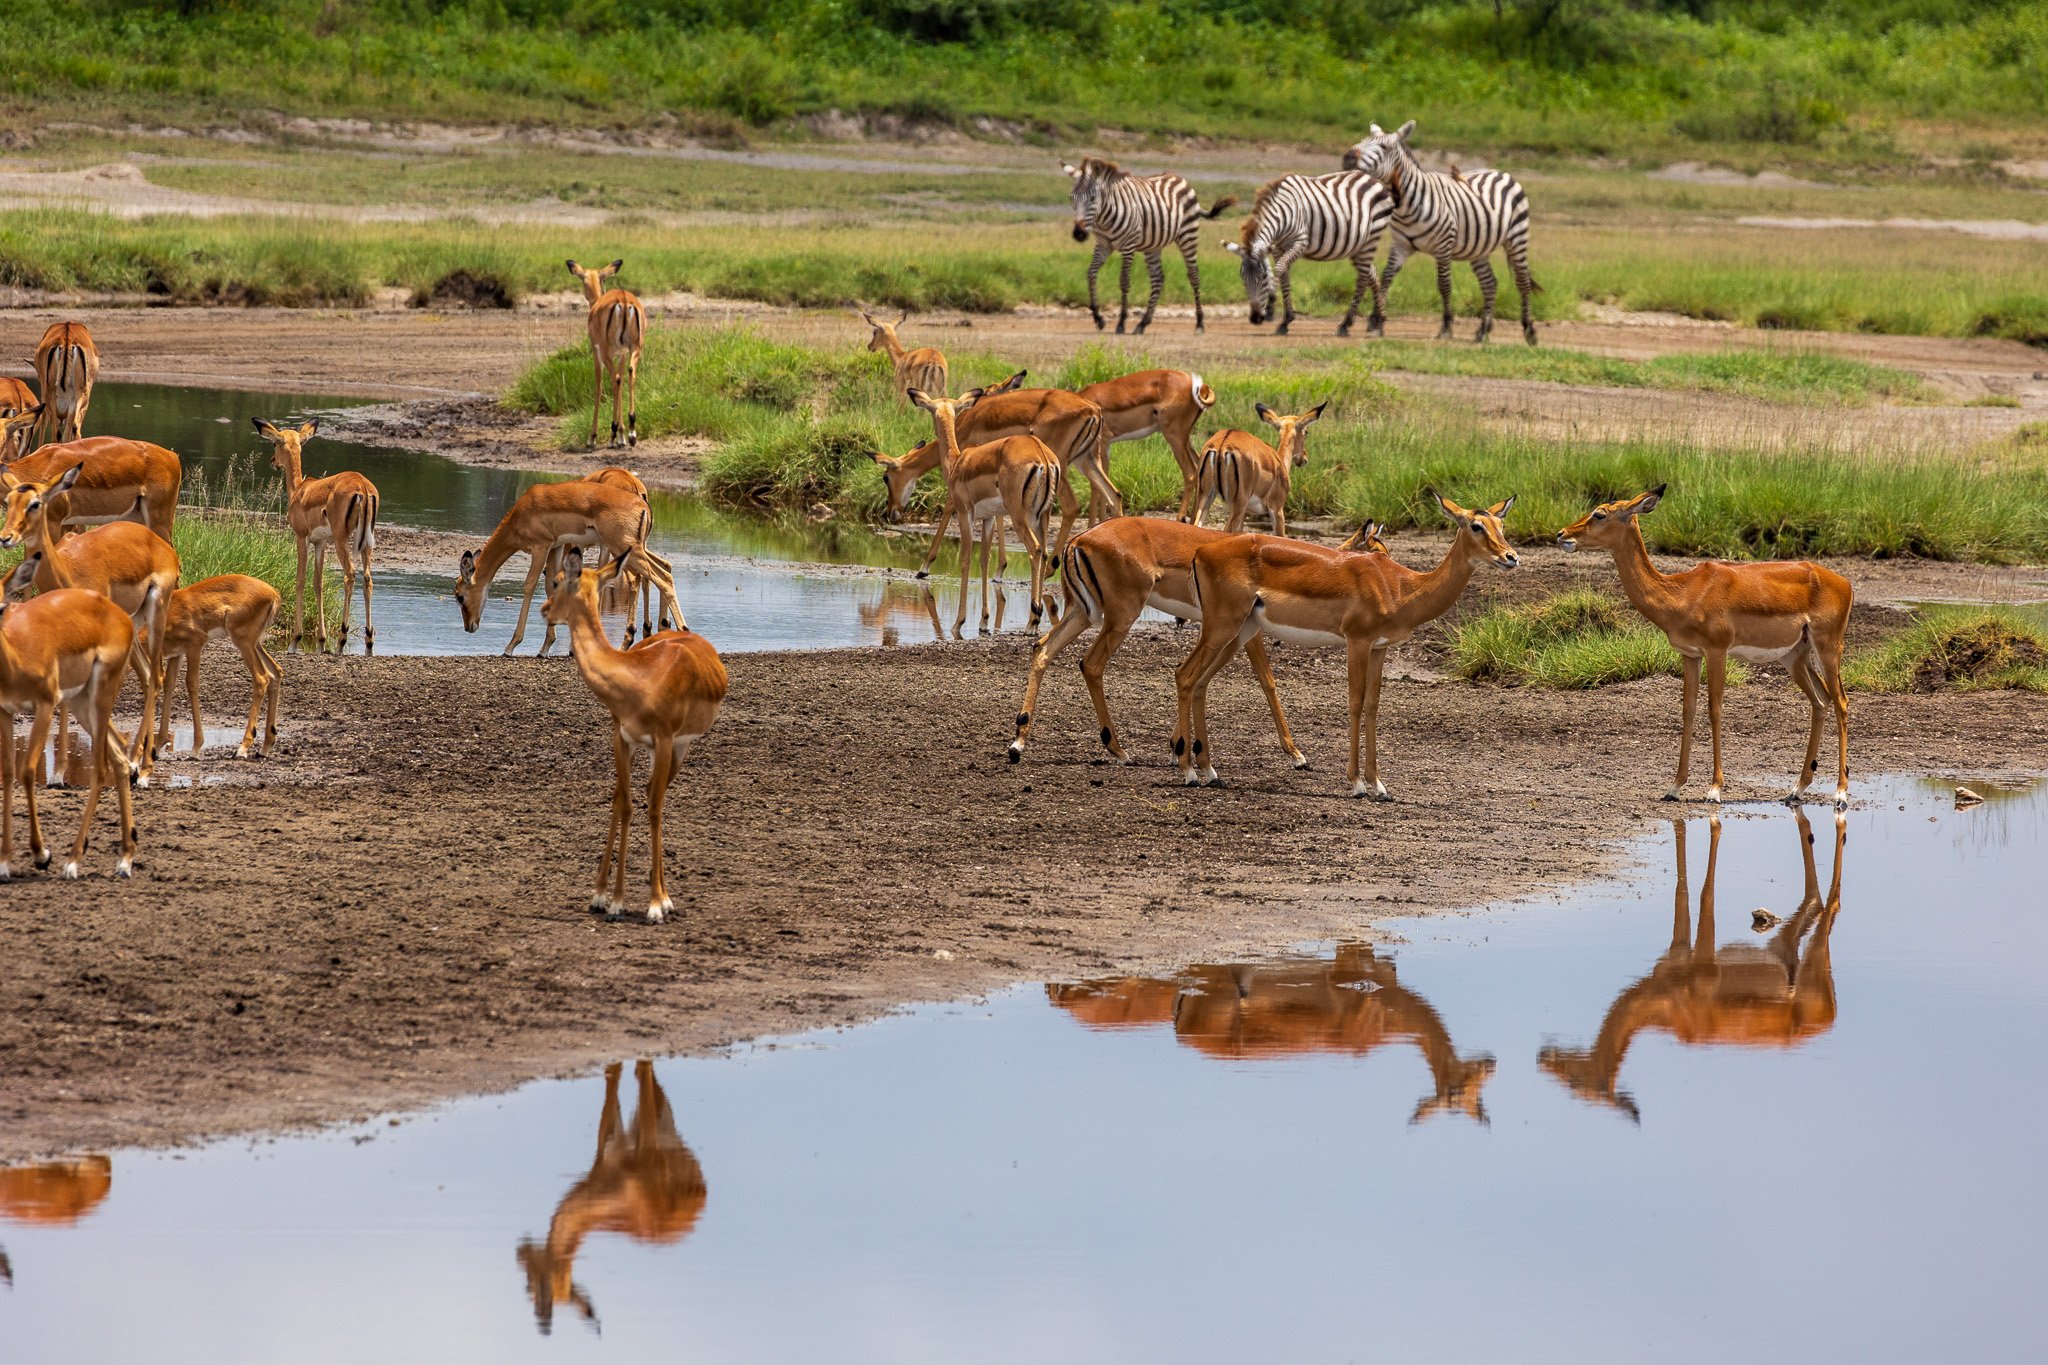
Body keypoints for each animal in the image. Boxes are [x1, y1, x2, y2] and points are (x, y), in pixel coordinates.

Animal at [1073, 154, 1228, 333]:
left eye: (1092, 199)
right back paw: (1143, 323)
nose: (1078, 234)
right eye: (1071, 198)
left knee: (1194, 276)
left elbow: (1124, 280)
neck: (1104, 218)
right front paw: (1098, 318)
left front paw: (1121, 322)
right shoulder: (1103, 245)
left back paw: (1200, 323)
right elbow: (1091, 273)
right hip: (1153, 245)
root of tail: (1179, 177)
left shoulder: (1128, 246)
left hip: (1188, 235)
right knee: (1157, 278)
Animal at [1212, 170, 1392, 335]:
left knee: (1362, 280)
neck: (1282, 212)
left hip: (1371, 238)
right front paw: (1285, 321)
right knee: (1372, 275)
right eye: (1243, 279)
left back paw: (1345, 325)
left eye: (1262, 279)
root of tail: (1372, 178)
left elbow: (1279, 269)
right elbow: (1284, 276)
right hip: (1357, 247)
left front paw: (1271, 307)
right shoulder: (1278, 247)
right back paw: (1378, 322)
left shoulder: (1300, 244)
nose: (1255, 318)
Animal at [1335, 118, 1540, 347]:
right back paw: (1482, 331)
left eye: (1384, 148)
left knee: (1522, 282)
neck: (1406, 205)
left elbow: (1444, 284)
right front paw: (1377, 321)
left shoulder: (1443, 246)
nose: (1348, 156)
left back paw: (1529, 331)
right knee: (1489, 284)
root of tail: (1501, 172)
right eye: (1362, 141)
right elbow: (1386, 278)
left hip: (1517, 237)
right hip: (1479, 248)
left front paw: (1446, 326)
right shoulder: (1400, 245)